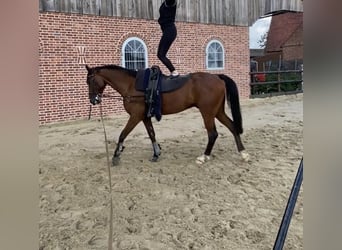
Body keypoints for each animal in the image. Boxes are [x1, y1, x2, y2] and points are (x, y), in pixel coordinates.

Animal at [84, 65, 247, 165]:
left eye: (90, 80)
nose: (93, 100)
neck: (131, 85)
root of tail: (217, 77)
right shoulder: (144, 117)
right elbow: (152, 134)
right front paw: (156, 154)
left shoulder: (135, 116)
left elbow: (123, 134)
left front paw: (116, 155)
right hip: (217, 111)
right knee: (232, 127)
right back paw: (243, 153)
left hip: (207, 112)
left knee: (213, 134)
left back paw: (204, 156)